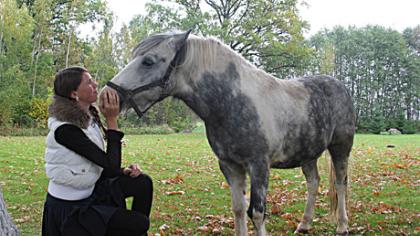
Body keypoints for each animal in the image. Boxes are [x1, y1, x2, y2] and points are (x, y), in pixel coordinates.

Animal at [104, 30, 354, 235]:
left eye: (148, 61)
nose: (108, 94)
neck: (231, 102)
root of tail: (339, 86)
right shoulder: (230, 166)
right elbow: (238, 209)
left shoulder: (259, 166)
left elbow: (257, 213)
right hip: (307, 154)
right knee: (313, 183)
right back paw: (304, 224)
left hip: (341, 148)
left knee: (341, 182)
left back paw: (342, 226)